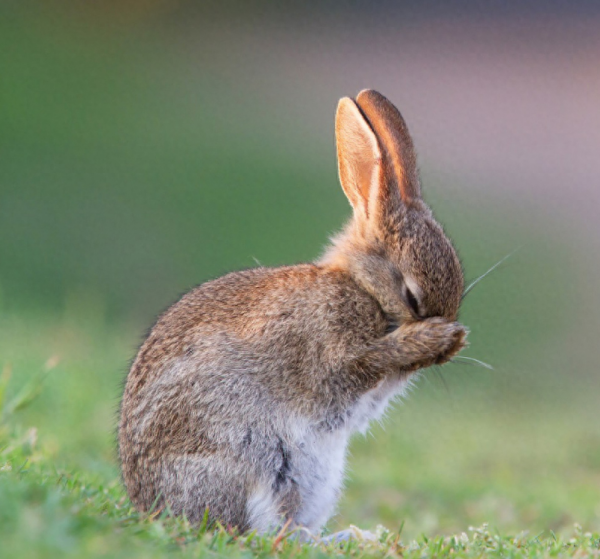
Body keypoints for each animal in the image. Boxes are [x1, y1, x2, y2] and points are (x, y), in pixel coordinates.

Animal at [119, 89, 468, 536]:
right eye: (411, 296)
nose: (447, 347)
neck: (362, 287)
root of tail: (152, 508)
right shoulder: (332, 353)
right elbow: (361, 364)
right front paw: (433, 338)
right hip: (252, 461)